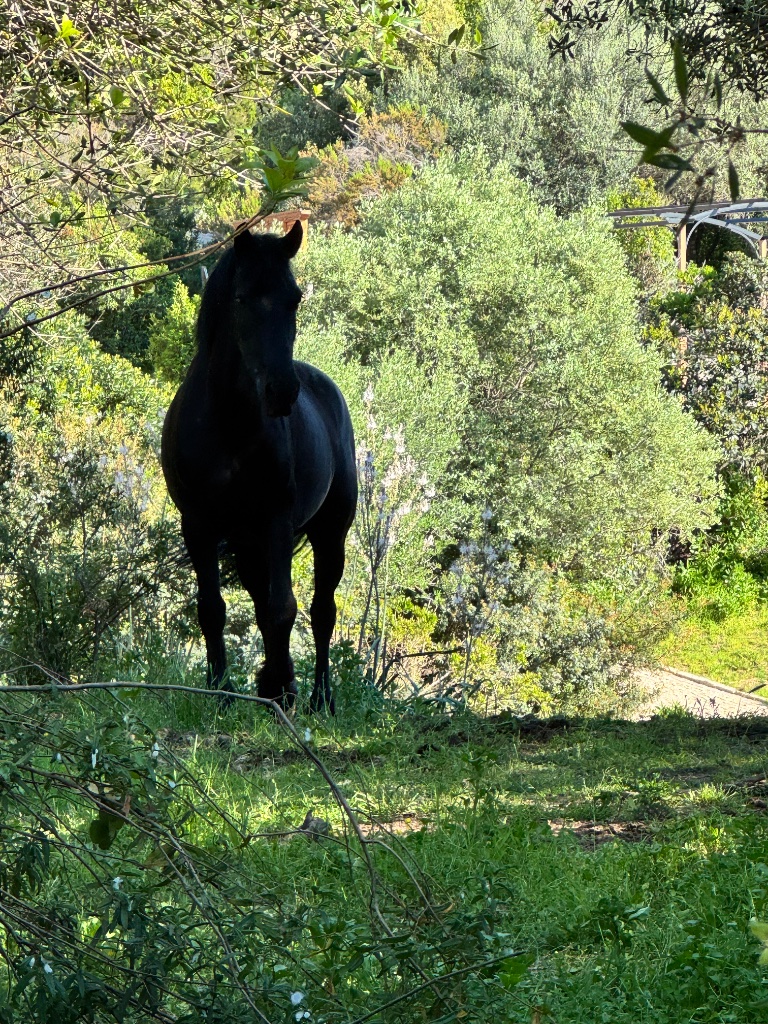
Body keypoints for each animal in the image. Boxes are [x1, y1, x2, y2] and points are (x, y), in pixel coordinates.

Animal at [161, 221, 357, 713]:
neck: (229, 423)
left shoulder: (277, 520)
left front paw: (282, 687)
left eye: (295, 298)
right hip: (246, 544)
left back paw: (318, 697)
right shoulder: (199, 524)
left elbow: (283, 608)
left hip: (330, 533)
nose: (281, 391)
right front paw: (220, 690)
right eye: (242, 297)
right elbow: (213, 609)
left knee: (322, 612)